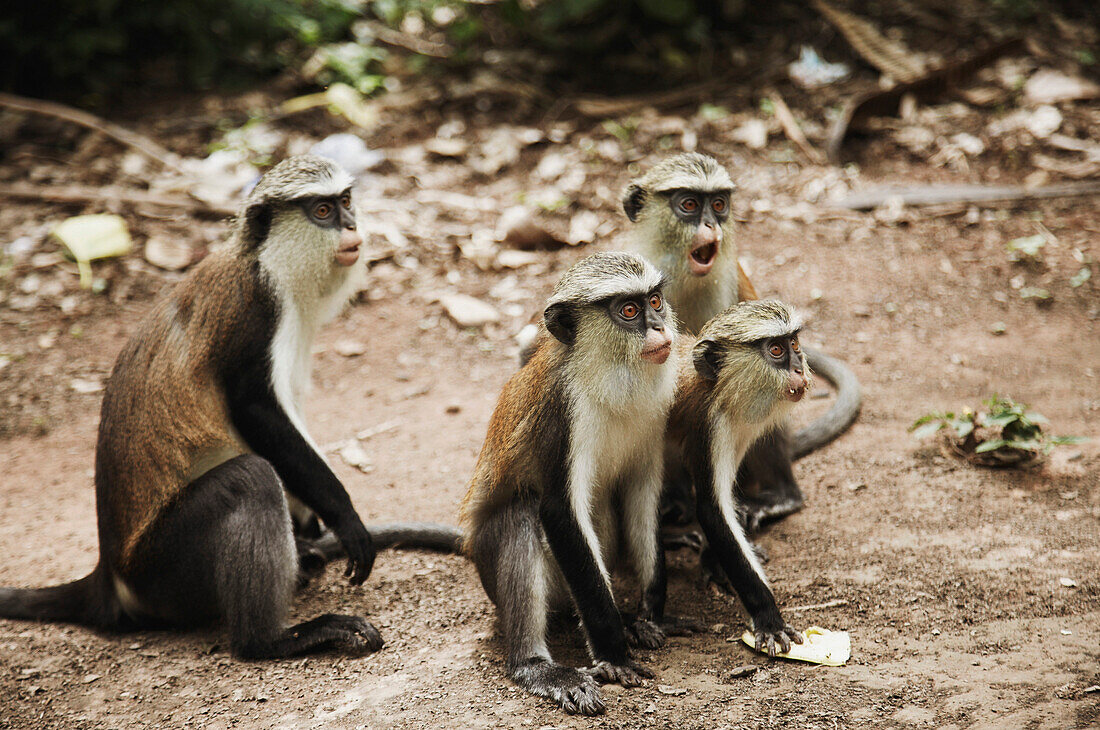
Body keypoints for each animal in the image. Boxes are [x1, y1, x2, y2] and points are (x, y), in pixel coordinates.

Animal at [0, 157, 459, 659]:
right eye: (321, 211)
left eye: (345, 201)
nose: (352, 226)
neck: (267, 261)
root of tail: (109, 578)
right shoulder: (256, 308)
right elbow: (255, 409)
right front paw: (346, 519)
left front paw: (314, 529)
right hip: (163, 569)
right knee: (251, 478)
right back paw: (274, 639)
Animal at [459, 253, 682, 716]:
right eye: (628, 311)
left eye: (655, 301)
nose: (659, 328)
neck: (609, 373)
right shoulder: (561, 415)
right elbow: (558, 511)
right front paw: (614, 655)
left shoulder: (655, 418)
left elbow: (642, 494)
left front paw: (650, 613)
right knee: (521, 516)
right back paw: (536, 666)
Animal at [651, 301, 809, 655]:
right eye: (776, 350)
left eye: (793, 344)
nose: (800, 370)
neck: (719, 387)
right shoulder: (710, 425)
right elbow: (713, 509)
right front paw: (770, 619)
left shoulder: (742, 429)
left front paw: (713, 561)